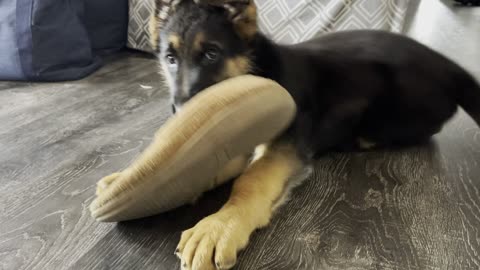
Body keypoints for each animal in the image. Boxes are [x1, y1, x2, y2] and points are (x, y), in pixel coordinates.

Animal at [150, 1, 480, 268]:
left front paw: (220, 224)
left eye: (211, 54)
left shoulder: (286, 145)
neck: (259, 70)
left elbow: (252, 178)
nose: (180, 116)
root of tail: (449, 66)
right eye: (170, 59)